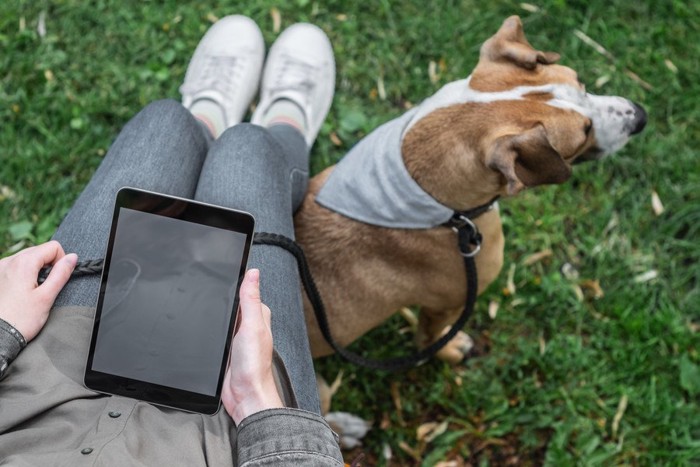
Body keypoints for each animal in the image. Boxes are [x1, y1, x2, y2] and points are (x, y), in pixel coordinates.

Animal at [292, 15, 648, 366]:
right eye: (583, 133)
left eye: (580, 82)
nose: (641, 116)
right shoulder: (449, 303)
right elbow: (430, 337)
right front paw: (450, 350)